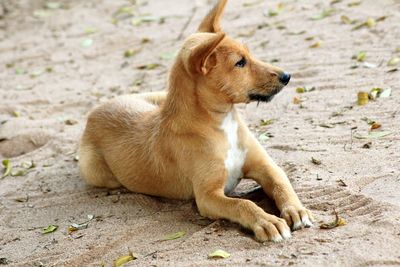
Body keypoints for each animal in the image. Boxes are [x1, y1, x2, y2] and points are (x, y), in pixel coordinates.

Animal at [79, 0, 314, 243]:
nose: (287, 76)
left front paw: (296, 210)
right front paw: (267, 221)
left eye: (249, 54)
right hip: (96, 171)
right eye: (240, 63)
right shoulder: (207, 196)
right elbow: (242, 204)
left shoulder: (266, 166)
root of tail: (97, 109)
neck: (222, 123)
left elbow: (281, 183)